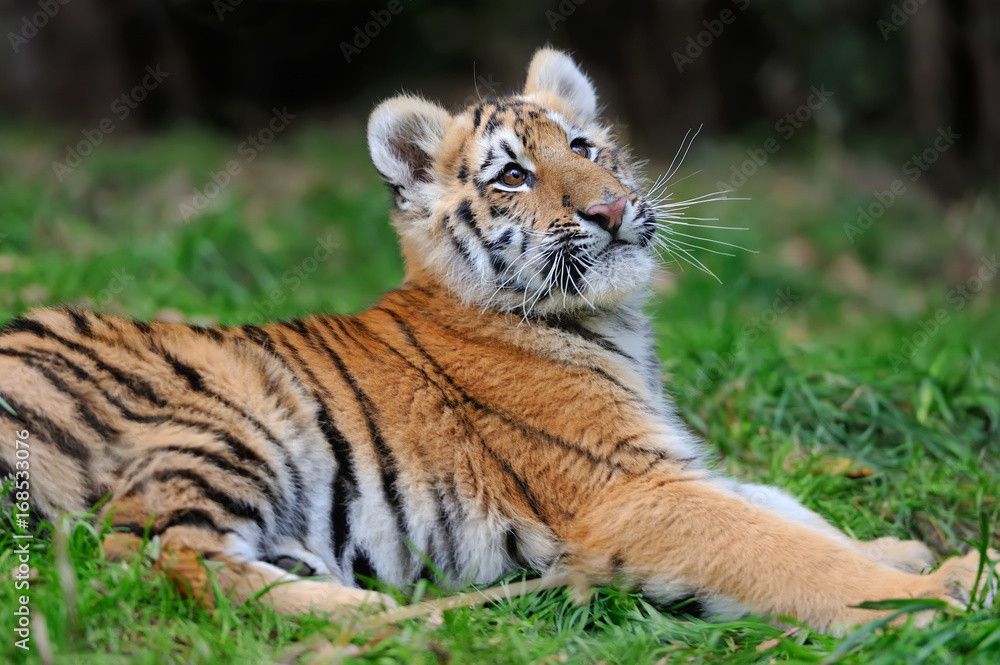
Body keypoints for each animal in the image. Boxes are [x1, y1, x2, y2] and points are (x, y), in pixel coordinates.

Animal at [1, 47, 996, 634]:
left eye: (586, 147)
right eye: (513, 176)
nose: (611, 208)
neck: (609, 322)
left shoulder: (667, 464)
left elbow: (788, 510)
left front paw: (920, 557)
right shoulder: (631, 488)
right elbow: (782, 546)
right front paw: (933, 594)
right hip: (230, 416)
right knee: (153, 555)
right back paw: (390, 615)